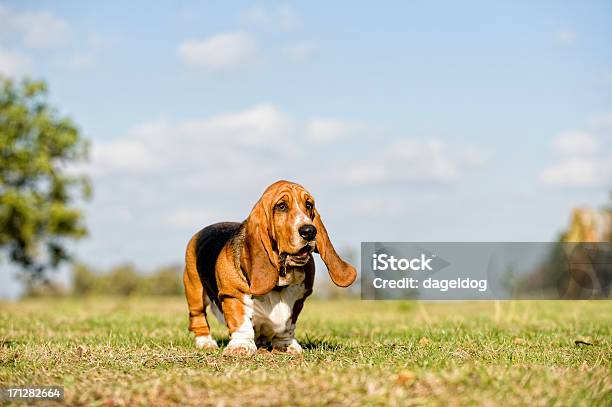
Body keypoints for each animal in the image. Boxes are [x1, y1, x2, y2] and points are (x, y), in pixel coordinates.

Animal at [183, 182, 354, 356]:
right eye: (281, 206)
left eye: (308, 205)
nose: (310, 231)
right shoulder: (233, 294)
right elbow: (241, 323)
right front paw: (241, 346)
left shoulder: (298, 300)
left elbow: (287, 325)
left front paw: (286, 345)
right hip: (194, 289)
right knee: (198, 316)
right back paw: (205, 342)